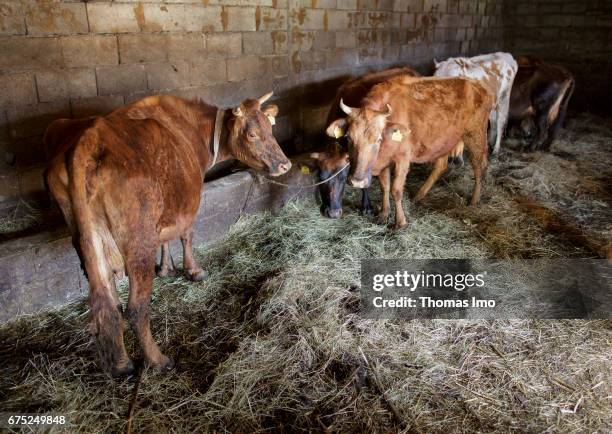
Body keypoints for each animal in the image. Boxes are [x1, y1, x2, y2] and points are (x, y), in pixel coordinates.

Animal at [44, 92, 290, 376]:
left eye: (270, 128)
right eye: (252, 134)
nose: (285, 165)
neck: (193, 129)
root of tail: (88, 138)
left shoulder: (168, 211)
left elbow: (167, 236)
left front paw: (166, 269)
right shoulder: (190, 201)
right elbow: (186, 234)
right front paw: (193, 271)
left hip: (89, 239)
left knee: (107, 305)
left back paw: (121, 364)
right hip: (138, 238)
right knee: (136, 308)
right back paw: (158, 360)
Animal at [326, 76, 492, 229]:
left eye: (378, 139)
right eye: (348, 138)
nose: (357, 181)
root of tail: (475, 83)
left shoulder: (402, 159)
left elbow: (396, 190)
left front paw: (400, 222)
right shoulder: (385, 161)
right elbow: (384, 187)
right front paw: (384, 214)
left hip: (475, 134)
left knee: (479, 165)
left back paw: (474, 200)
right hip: (445, 140)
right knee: (441, 165)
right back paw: (420, 195)